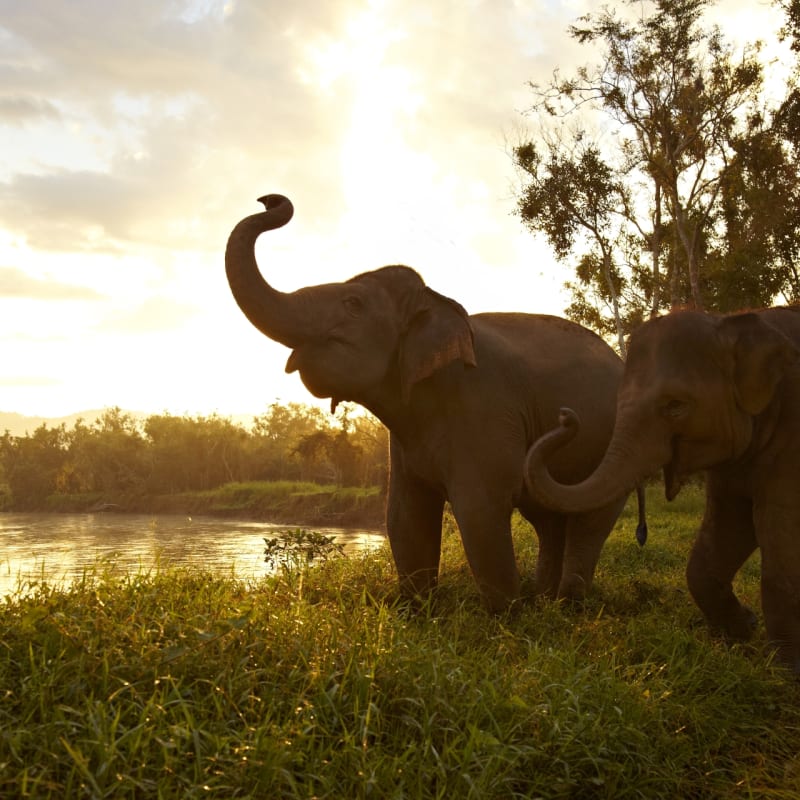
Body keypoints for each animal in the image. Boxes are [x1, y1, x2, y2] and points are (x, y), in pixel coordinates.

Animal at [224, 193, 642, 611]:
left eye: (353, 303)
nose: (269, 199)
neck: (436, 302)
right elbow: (404, 514)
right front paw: (417, 610)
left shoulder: (483, 407)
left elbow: (479, 509)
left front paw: (505, 616)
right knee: (549, 518)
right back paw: (545, 601)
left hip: (613, 445)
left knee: (588, 520)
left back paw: (566, 605)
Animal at [524, 306, 800, 671]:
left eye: (675, 405)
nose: (565, 415)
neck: (731, 325)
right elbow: (723, 532)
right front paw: (743, 632)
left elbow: (781, 549)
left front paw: (783, 672)